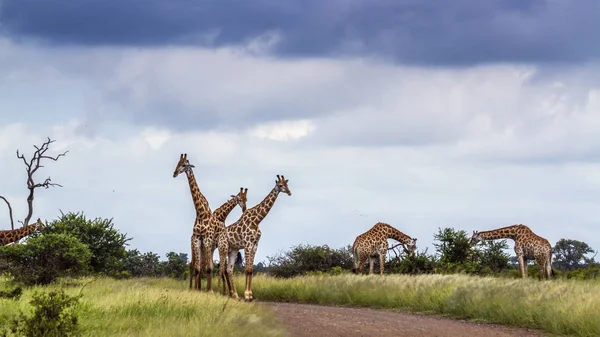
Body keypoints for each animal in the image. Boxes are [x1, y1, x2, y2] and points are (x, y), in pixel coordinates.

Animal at [173, 152, 232, 292]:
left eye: (184, 165)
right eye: (177, 163)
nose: (174, 173)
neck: (200, 212)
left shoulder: (207, 239)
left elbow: (209, 268)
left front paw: (209, 290)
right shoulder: (197, 239)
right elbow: (198, 268)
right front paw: (196, 290)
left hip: (216, 245)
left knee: (216, 267)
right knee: (198, 266)